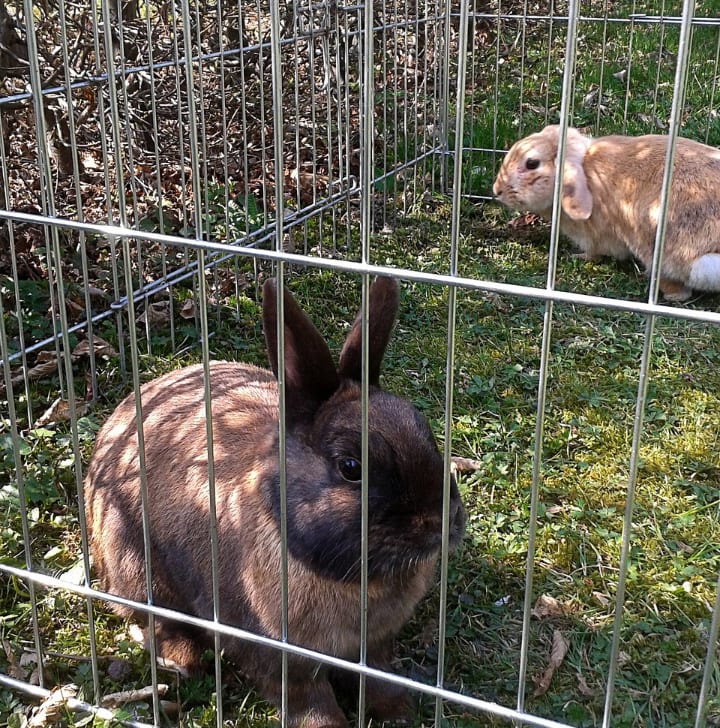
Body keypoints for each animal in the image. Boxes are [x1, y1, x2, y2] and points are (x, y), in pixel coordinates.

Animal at [84, 278, 466, 728]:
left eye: (425, 430)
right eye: (351, 467)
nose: (442, 521)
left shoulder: (374, 647)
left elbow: (378, 678)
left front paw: (398, 712)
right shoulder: (276, 655)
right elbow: (308, 700)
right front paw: (332, 725)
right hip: (135, 564)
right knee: (152, 620)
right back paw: (183, 660)